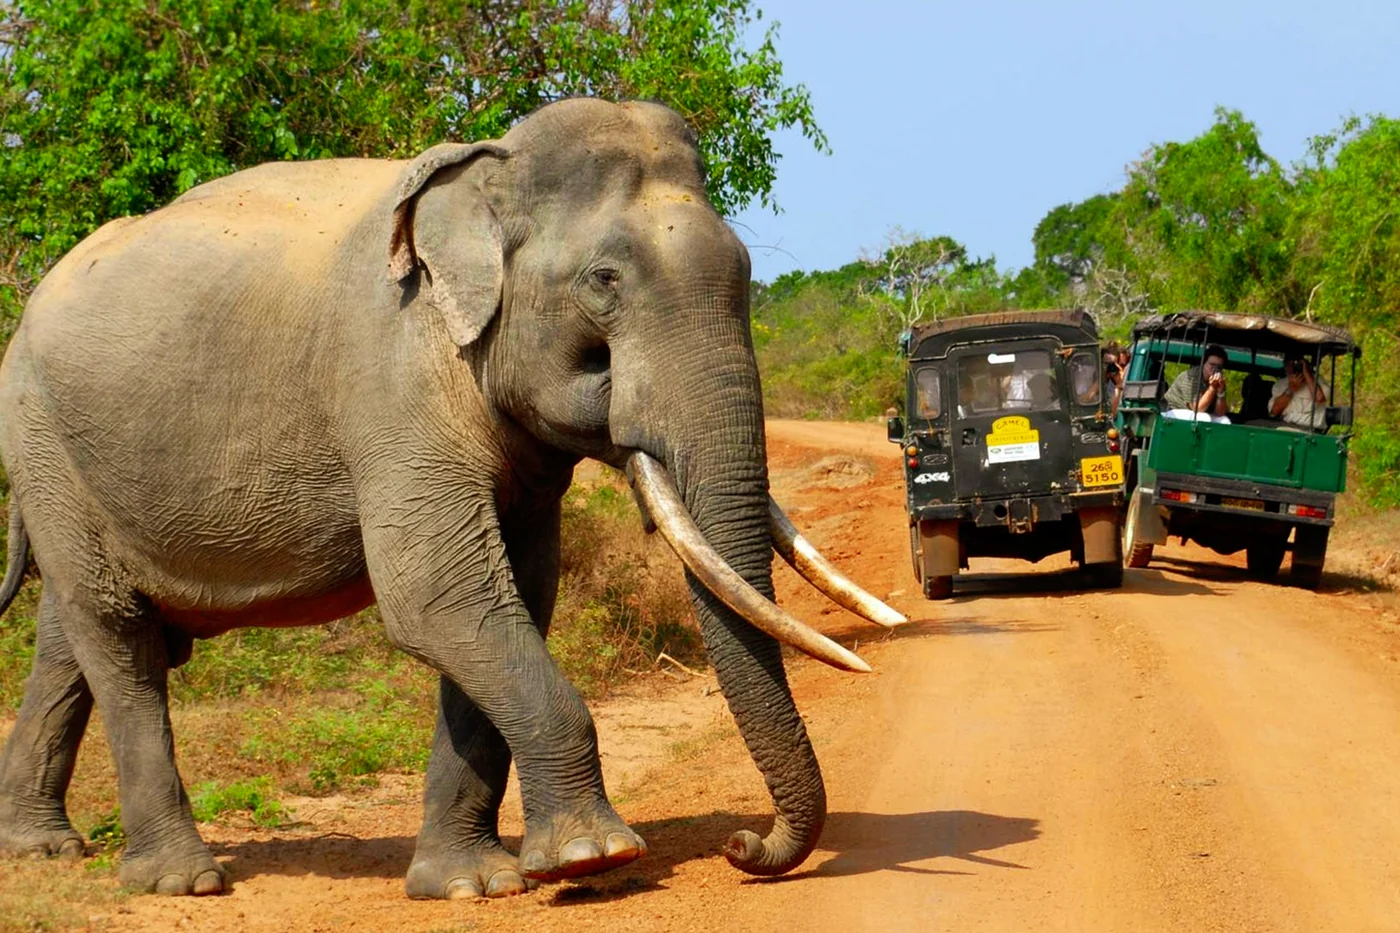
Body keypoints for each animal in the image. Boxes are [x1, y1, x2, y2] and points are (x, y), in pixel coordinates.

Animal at [0, 97, 904, 899]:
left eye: (750, 276)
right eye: (604, 281)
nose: (743, 843)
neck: (488, 171)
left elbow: (515, 596)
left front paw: (470, 884)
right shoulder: (391, 380)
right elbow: (439, 597)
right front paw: (593, 856)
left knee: (73, 633)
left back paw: (42, 847)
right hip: (41, 435)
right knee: (117, 632)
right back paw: (179, 879)